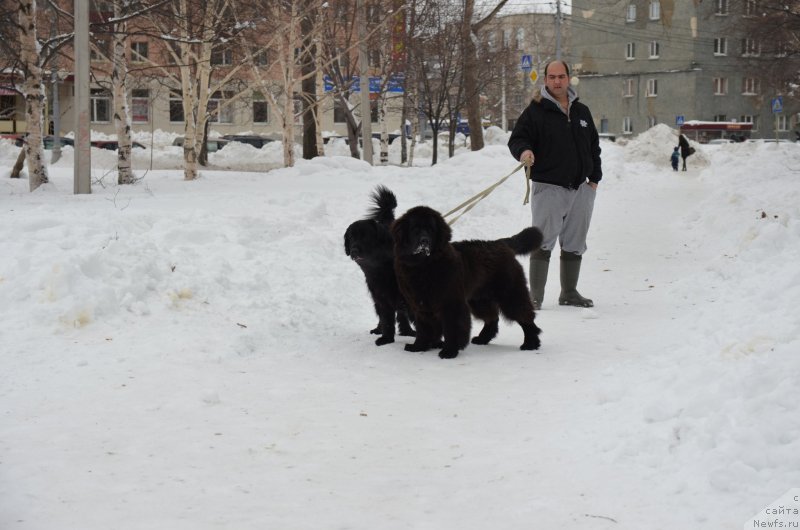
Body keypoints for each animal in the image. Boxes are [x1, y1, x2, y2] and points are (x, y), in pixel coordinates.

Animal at [344, 187, 416, 346]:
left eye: (365, 236)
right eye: (351, 237)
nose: (354, 250)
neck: (382, 268)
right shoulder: (381, 296)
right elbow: (387, 319)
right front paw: (386, 339)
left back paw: (407, 331)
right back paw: (379, 329)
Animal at [390, 204, 540, 356]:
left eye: (431, 230)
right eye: (415, 229)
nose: (424, 241)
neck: (423, 266)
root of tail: (501, 243)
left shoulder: (451, 303)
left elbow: (452, 328)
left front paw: (449, 351)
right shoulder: (420, 305)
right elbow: (423, 327)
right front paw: (419, 346)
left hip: (510, 294)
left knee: (525, 316)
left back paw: (531, 343)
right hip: (480, 299)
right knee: (492, 317)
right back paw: (483, 338)